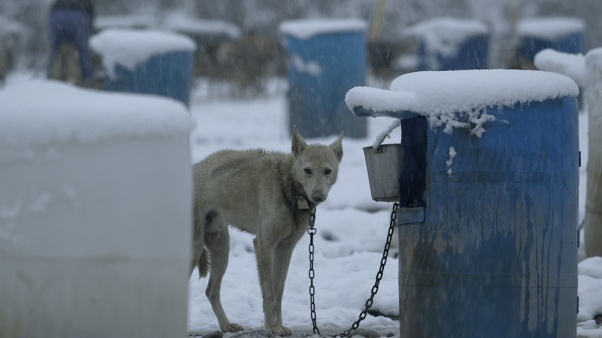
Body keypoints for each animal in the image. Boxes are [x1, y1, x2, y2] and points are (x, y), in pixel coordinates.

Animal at [192, 127, 342, 336]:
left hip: (222, 251)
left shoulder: (285, 249)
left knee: (211, 291)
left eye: (327, 171)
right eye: (308, 170)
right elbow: (269, 293)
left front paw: (278, 326)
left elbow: (278, 293)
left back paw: (226, 326)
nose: (318, 196)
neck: (288, 186)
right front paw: (272, 327)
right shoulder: (263, 244)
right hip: (194, 251)